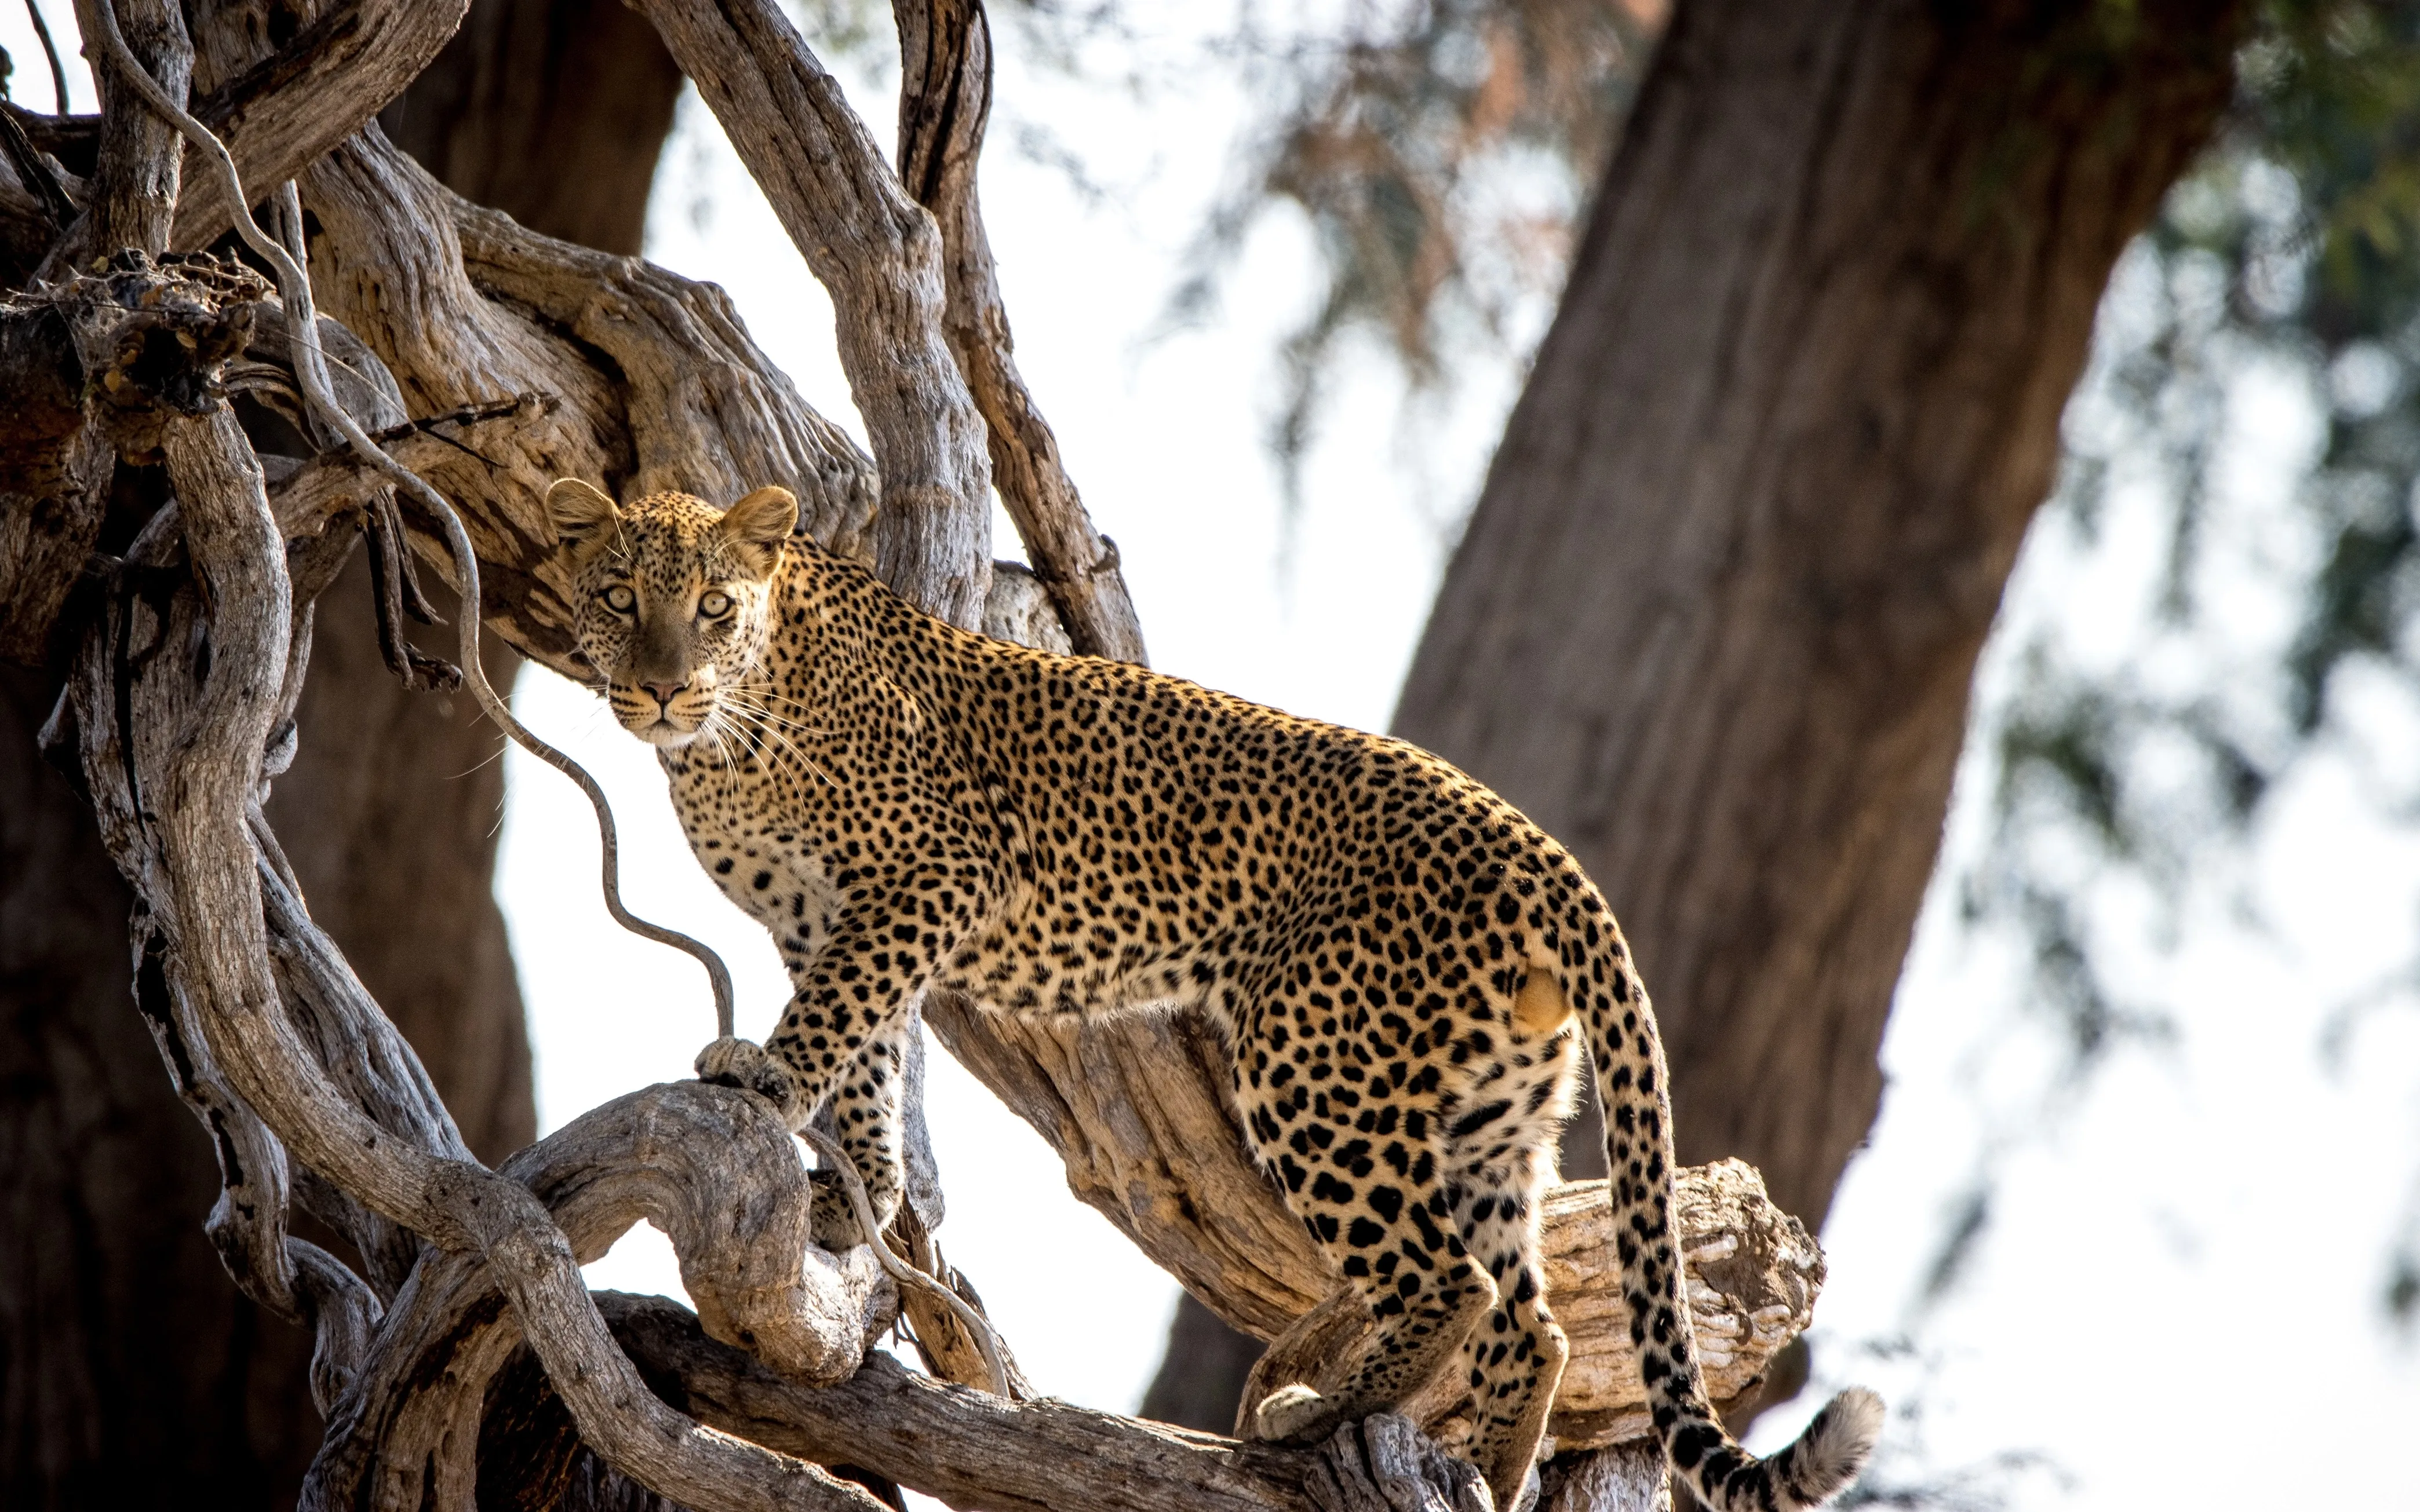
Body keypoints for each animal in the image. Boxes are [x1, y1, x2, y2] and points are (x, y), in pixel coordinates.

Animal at [545, 477, 1883, 1512]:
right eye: (618, 600)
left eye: (713, 608)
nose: (659, 690)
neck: (729, 738)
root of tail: (1539, 847)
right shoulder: (824, 918)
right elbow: (872, 1057)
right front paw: (858, 1193)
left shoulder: (929, 878)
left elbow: (837, 1018)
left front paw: (765, 1082)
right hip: (1490, 1110)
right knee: (1534, 1318)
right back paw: (1489, 1469)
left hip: (1313, 1063)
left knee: (1446, 1279)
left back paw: (1310, 1415)